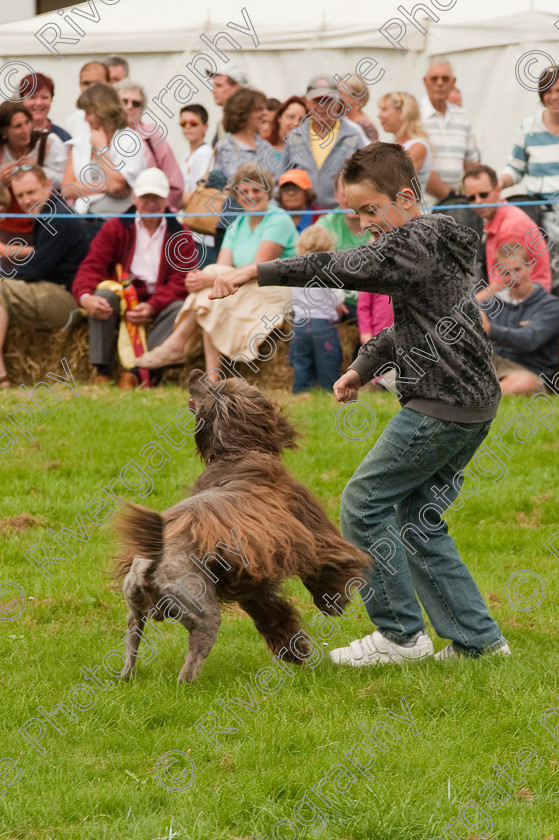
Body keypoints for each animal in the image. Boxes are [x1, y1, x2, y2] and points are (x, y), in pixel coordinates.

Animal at [115, 370, 370, 684]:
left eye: (216, 384)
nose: (195, 373)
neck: (234, 452)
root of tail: (149, 568)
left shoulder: (246, 577)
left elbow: (269, 610)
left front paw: (292, 649)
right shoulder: (307, 525)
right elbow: (327, 561)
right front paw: (333, 600)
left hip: (134, 617)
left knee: (130, 654)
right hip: (203, 614)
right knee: (189, 667)